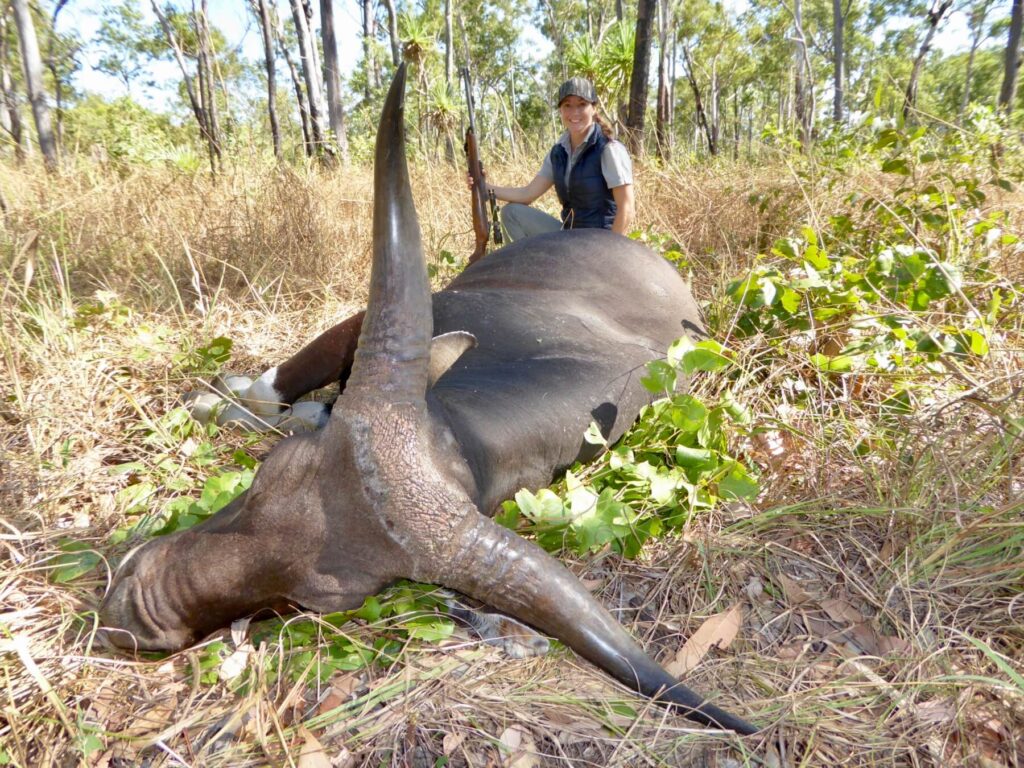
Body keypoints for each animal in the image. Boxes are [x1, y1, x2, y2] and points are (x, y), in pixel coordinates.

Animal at [99, 65, 758, 737]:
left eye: (312, 602)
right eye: (263, 479)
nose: (131, 615)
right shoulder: (372, 322)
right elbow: (272, 387)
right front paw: (221, 399)